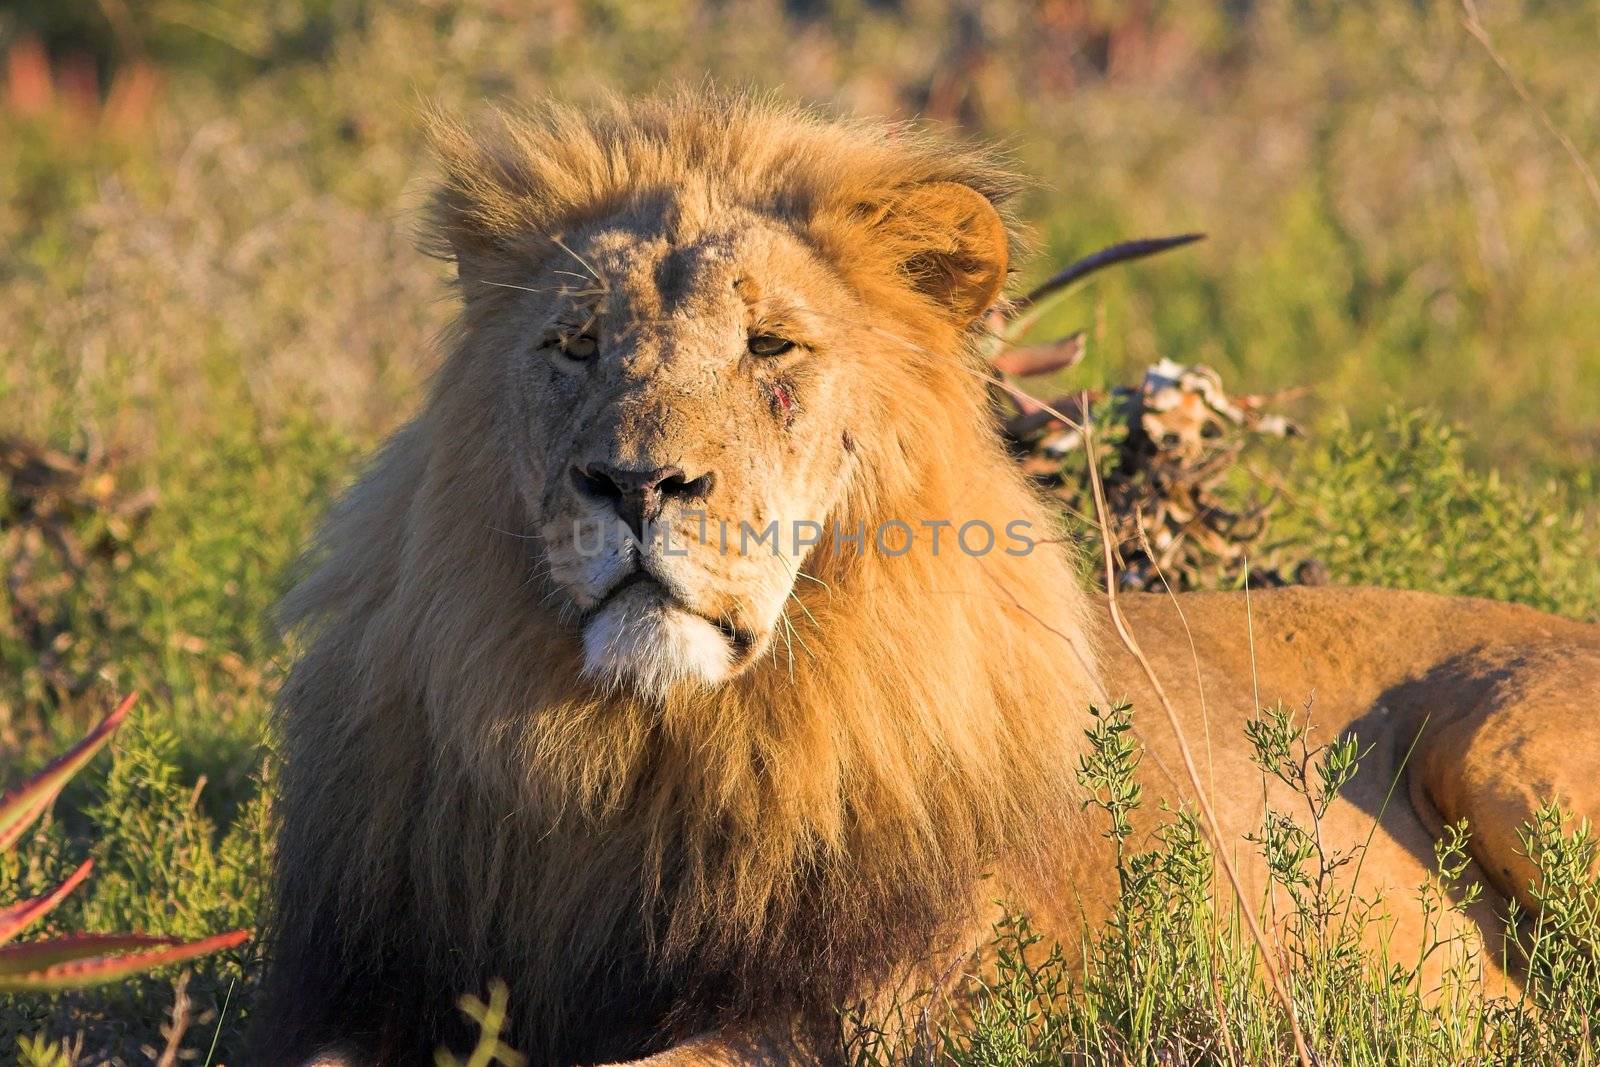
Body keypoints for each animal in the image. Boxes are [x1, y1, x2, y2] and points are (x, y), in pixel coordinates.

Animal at [259, 95, 1600, 1062]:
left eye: (770, 345)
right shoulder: (356, 981)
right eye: (574, 344)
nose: (635, 485)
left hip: (1515, 751)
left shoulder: (854, 1006)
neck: (637, 756)